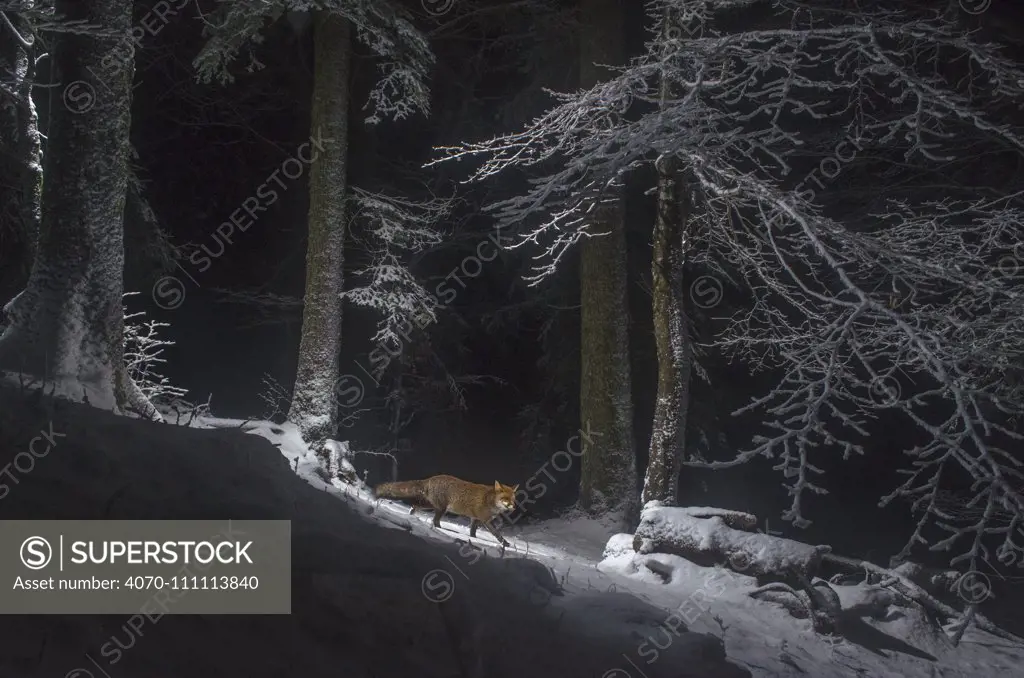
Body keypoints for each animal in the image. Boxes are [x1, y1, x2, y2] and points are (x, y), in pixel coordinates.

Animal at [374, 477, 520, 548]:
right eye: (505, 499)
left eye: (513, 499)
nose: (513, 507)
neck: (489, 500)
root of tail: (431, 478)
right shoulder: (485, 520)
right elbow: (497, 534)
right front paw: (505, 544)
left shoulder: (475, 519)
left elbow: (473, 532)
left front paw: (473, 539)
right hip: (441, 509)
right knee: (435, 521)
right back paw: (440, 530)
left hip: (431, 506)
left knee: (415, 506)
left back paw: (411, 516)